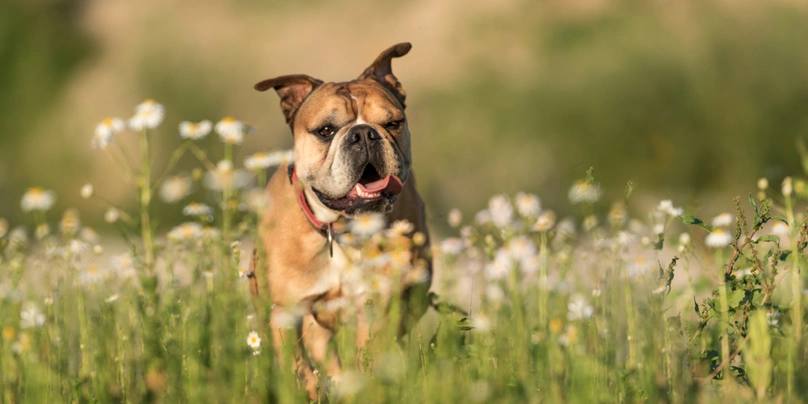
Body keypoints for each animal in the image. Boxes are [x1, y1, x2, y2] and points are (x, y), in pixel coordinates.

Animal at [252, 43, 432, 398]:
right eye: (326, 131)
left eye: (393, 123)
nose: (363, 133)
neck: (343, 228)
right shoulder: (284, 313)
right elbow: (299, 367)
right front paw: (309, 391)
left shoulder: (380, 307)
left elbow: (370, 356)